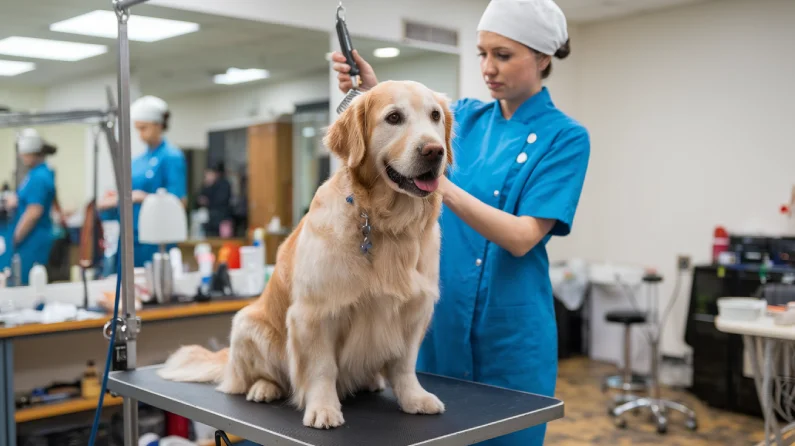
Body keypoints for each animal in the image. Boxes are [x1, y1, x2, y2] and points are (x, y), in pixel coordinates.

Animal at [157, 79, 454, 428]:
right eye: (394, 118)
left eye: (435, 116)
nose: (435, 151)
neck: (384, 223)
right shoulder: (315, 313)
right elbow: (322, 367)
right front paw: (323, 408)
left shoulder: (413, 309)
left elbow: (404, 365)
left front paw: (414, 398)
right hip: (246, 326)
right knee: (255, 378)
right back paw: (263, 388)